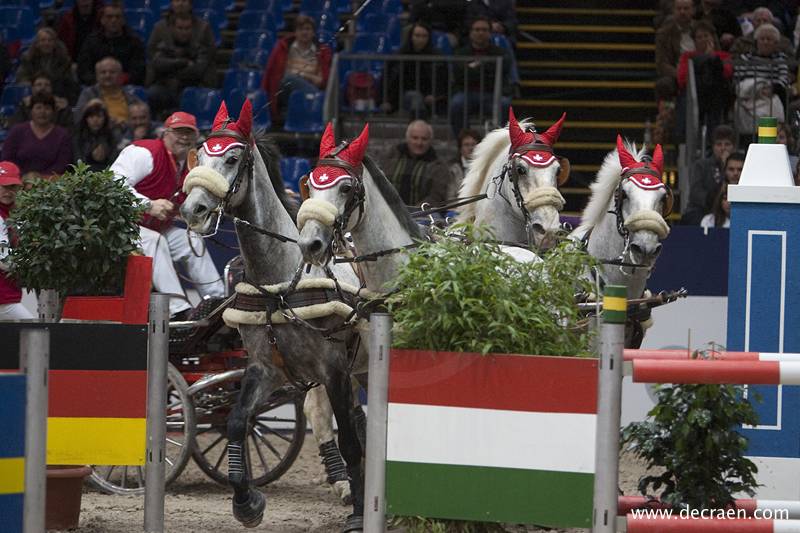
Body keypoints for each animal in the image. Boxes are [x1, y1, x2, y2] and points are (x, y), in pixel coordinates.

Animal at [180, 100, 366, 531]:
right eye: (200, 153)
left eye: (232, 159)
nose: (193, 208)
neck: (282, 279)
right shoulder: (266, 368)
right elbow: (236, 421)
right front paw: (246, 501)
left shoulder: (334, 369)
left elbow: (350, 438)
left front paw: (359, 511)